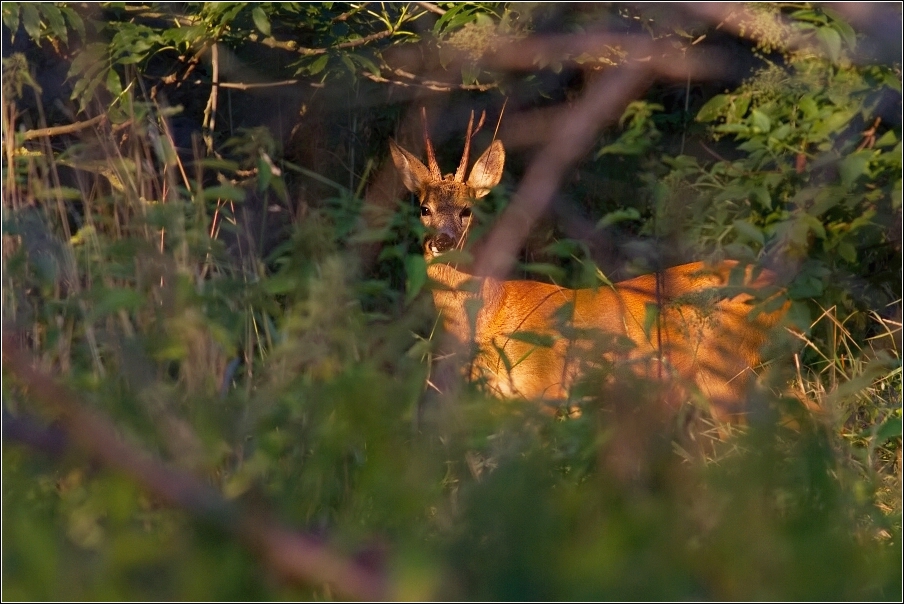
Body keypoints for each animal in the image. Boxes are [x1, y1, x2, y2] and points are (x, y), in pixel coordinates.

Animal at [390, 111, 792, 422]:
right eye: (424, 208)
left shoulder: (545, 387)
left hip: (727, 375)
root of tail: (785, 290)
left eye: (466, 210)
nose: (442, 241)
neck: (493, 313)